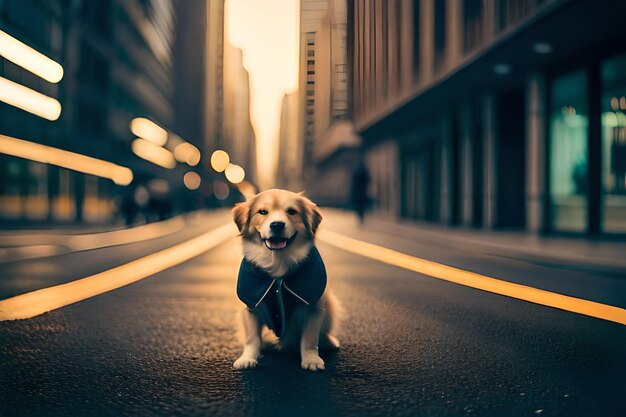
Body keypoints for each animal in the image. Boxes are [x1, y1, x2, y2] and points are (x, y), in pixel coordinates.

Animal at [230, 188, 336, 370]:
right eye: (263, 212)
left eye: (292, 212)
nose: (277, 225)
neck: (278, 263)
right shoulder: (251, 304)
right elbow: (252, 337)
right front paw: (247, 358)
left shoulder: (313, 305)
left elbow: (310, 339)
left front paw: (311, 359)